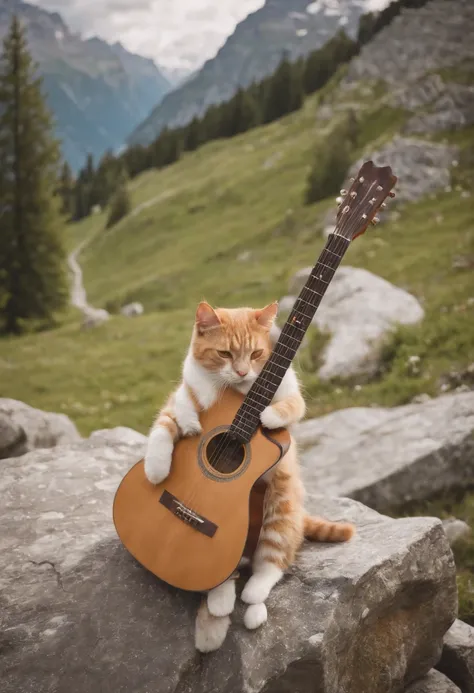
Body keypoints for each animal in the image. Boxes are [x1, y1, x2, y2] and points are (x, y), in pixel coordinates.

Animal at [145, 300, 356, 652]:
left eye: (257, 354)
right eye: (225, 354)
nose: (243, 373)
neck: (237, 391)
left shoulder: (293, 396)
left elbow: (291, 406)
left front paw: (267, 415)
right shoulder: (180, 394)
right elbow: (168, 421)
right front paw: (159, 465)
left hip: (278, 511)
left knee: (270, 564)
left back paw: (250, 604)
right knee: (221, 577)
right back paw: (216, 613)